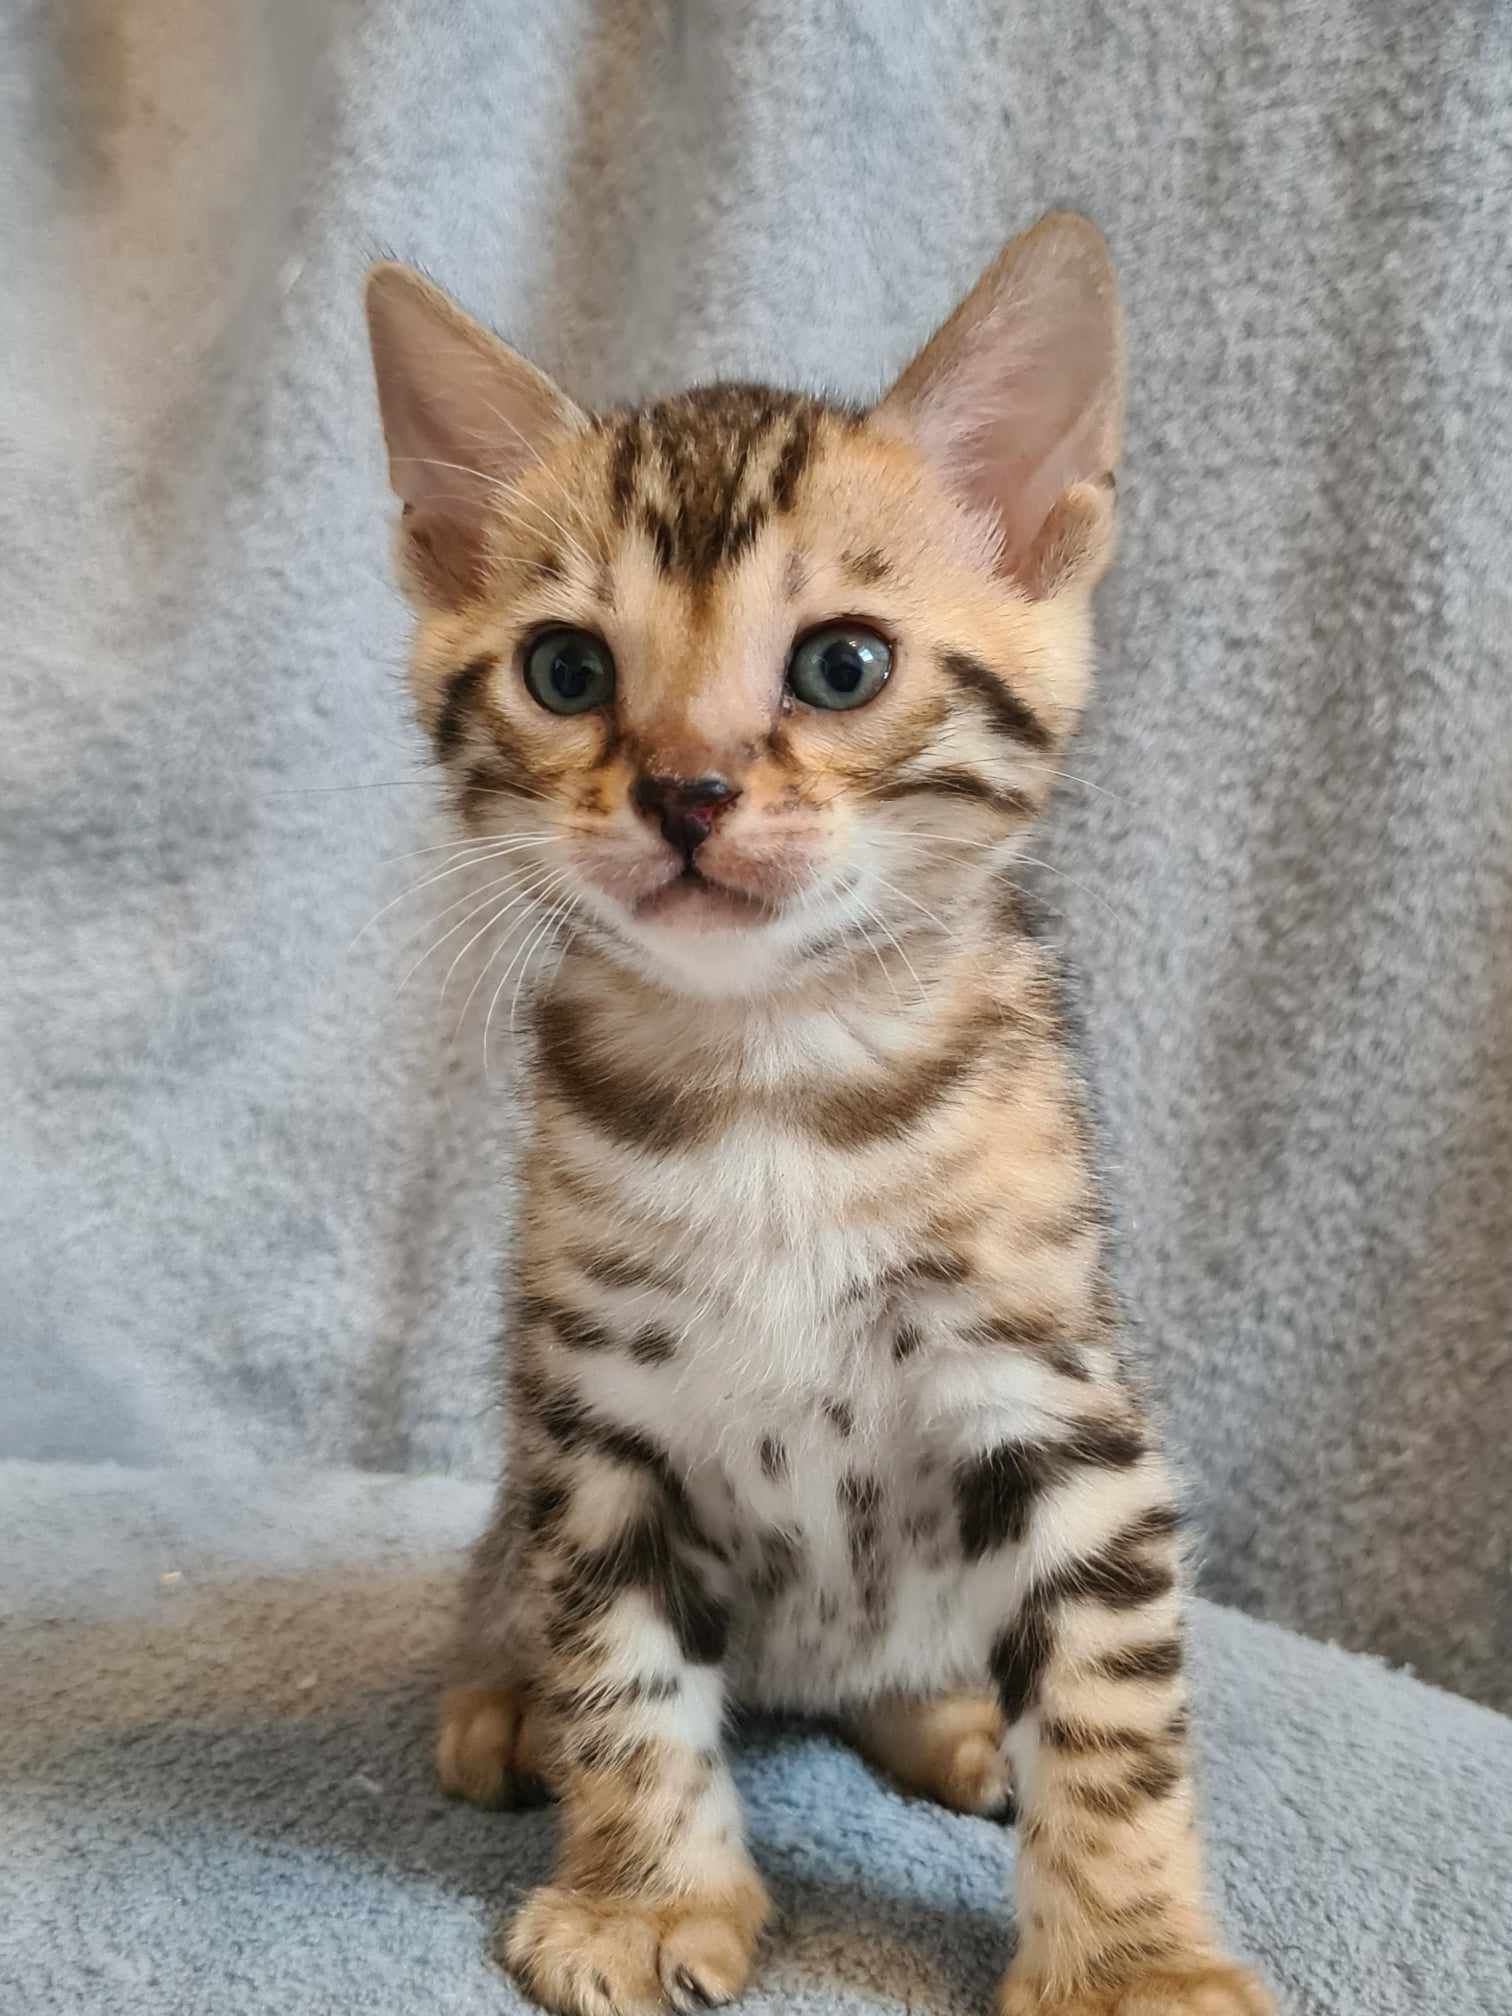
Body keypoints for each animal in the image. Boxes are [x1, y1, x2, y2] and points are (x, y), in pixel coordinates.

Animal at [364, 212, 1274, 2016]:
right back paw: (503, 1710)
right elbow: (625, 1679)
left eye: (839, 664)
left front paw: (1127, 1954)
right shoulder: (595, 1433)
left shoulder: (1056, 1406)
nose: (686, 788)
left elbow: (1111, 1702)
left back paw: (950, 1726)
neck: (770, 1074)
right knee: (514, 1606)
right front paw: (644, 1894)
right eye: (567, 669)